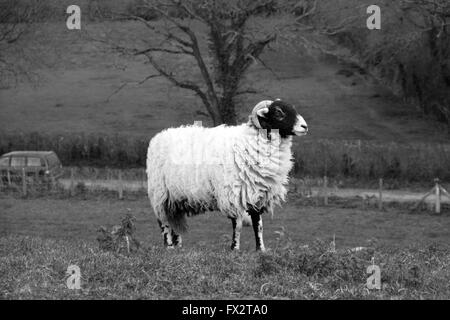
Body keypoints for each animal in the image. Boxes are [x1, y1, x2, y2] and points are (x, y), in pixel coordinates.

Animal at [146, 99, 308, 250]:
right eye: (279, 112)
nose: (305, 127)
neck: (249, 142)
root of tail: (159, 136)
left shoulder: (257, 195)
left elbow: (259, 224)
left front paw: (261, 249)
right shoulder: (233, 195)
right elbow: (238, 225)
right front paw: (234, 248)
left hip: (175, 198)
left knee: (174, 221)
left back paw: (178, 246)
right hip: (160, 194)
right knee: (164, 222)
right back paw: (169, 246)